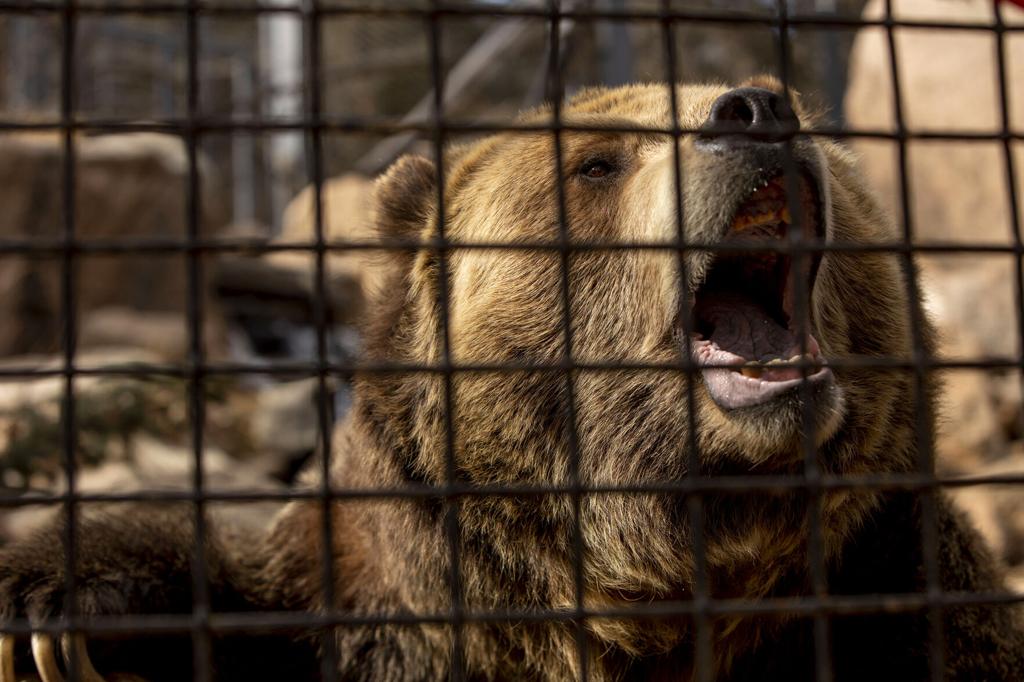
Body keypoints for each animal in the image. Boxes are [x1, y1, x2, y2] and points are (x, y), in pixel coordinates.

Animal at [2, 80, 1024, 679]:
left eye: (798, 106)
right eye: (597, 162)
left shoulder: (902, 601)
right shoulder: (374, 605)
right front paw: (62, 618)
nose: (756, 107)